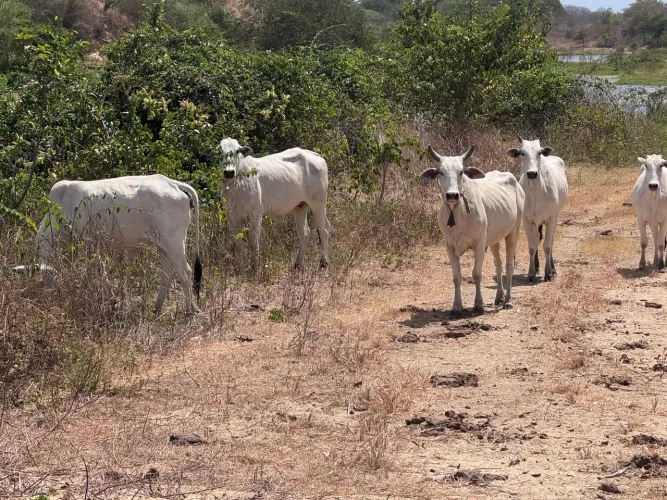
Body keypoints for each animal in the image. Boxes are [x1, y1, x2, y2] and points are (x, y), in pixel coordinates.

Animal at [35, 174, 202, 314]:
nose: (47, 298)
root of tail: (173, 183)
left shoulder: (87, 245)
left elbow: (92, 273)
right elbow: (102, 272)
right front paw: (112, 300)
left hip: (175, 243)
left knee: (185, 272)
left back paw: (189, 310)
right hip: (163, 246)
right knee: (167, 274)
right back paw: (156, 308)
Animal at [219, 137, 331, 270]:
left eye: (237, 151)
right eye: (220, 151)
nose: (229, 172)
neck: (235, 187)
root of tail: (315, 155)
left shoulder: (255, 215)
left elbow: (253, 243)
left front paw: (254, 268)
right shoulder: (232, 217)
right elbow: (238, 244)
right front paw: (238, 269)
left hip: (318, 204)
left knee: (324, 230)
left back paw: (324, 263)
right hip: (301, 206)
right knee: (305, 233)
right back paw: (298, 265)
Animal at [420, 145, 525, 314]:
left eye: (461, 172)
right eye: (441, 172)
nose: (452, 195)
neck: (457, 212)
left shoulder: (480, 243)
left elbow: (476, 274)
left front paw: (478, 304)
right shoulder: (449, 245)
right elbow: (456, 278)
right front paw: (456, 306)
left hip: (513, 231)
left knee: (509, 264)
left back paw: (508, 300)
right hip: (494, 239)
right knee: (498, 264)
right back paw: (499, 297)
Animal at [507, 136, 568, 282]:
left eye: (539, 152)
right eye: (522, 153)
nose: (532, 173)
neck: (535, 190)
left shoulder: (551, 218)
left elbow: (547, 245)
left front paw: (549, 273)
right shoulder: (527, 219)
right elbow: (532, 247)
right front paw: (531, 272)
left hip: (555, 217)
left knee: (550, 241)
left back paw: (552, 269)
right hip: (536, 221)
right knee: (536, 239)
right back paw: (537, 267)